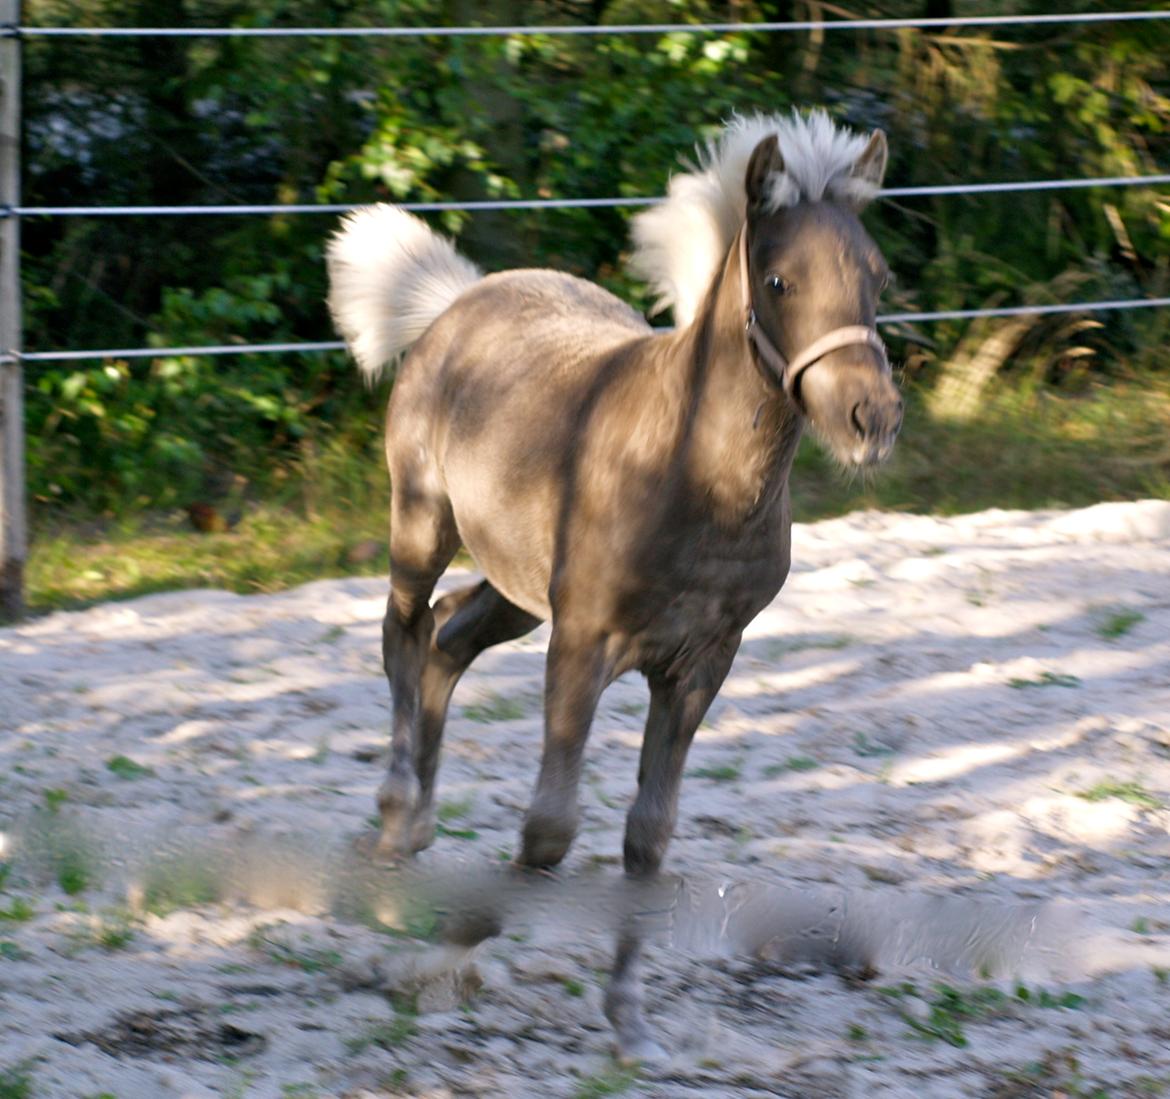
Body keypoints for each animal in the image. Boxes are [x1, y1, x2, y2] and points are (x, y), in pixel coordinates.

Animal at [329, 109, 903, 1058]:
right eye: (779, 279)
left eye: (878, 277)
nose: (872, 418)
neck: (692, 475)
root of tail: (460, 300)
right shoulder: (583, 643)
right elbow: (551, 830)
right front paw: (427, 960)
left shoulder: (698, 664)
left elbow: (648, 836)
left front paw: (628, 1016)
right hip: (424, 519)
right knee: (402, 630)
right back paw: (396, 817)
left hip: (516, 587)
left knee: (448, 636)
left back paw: (414, 832)